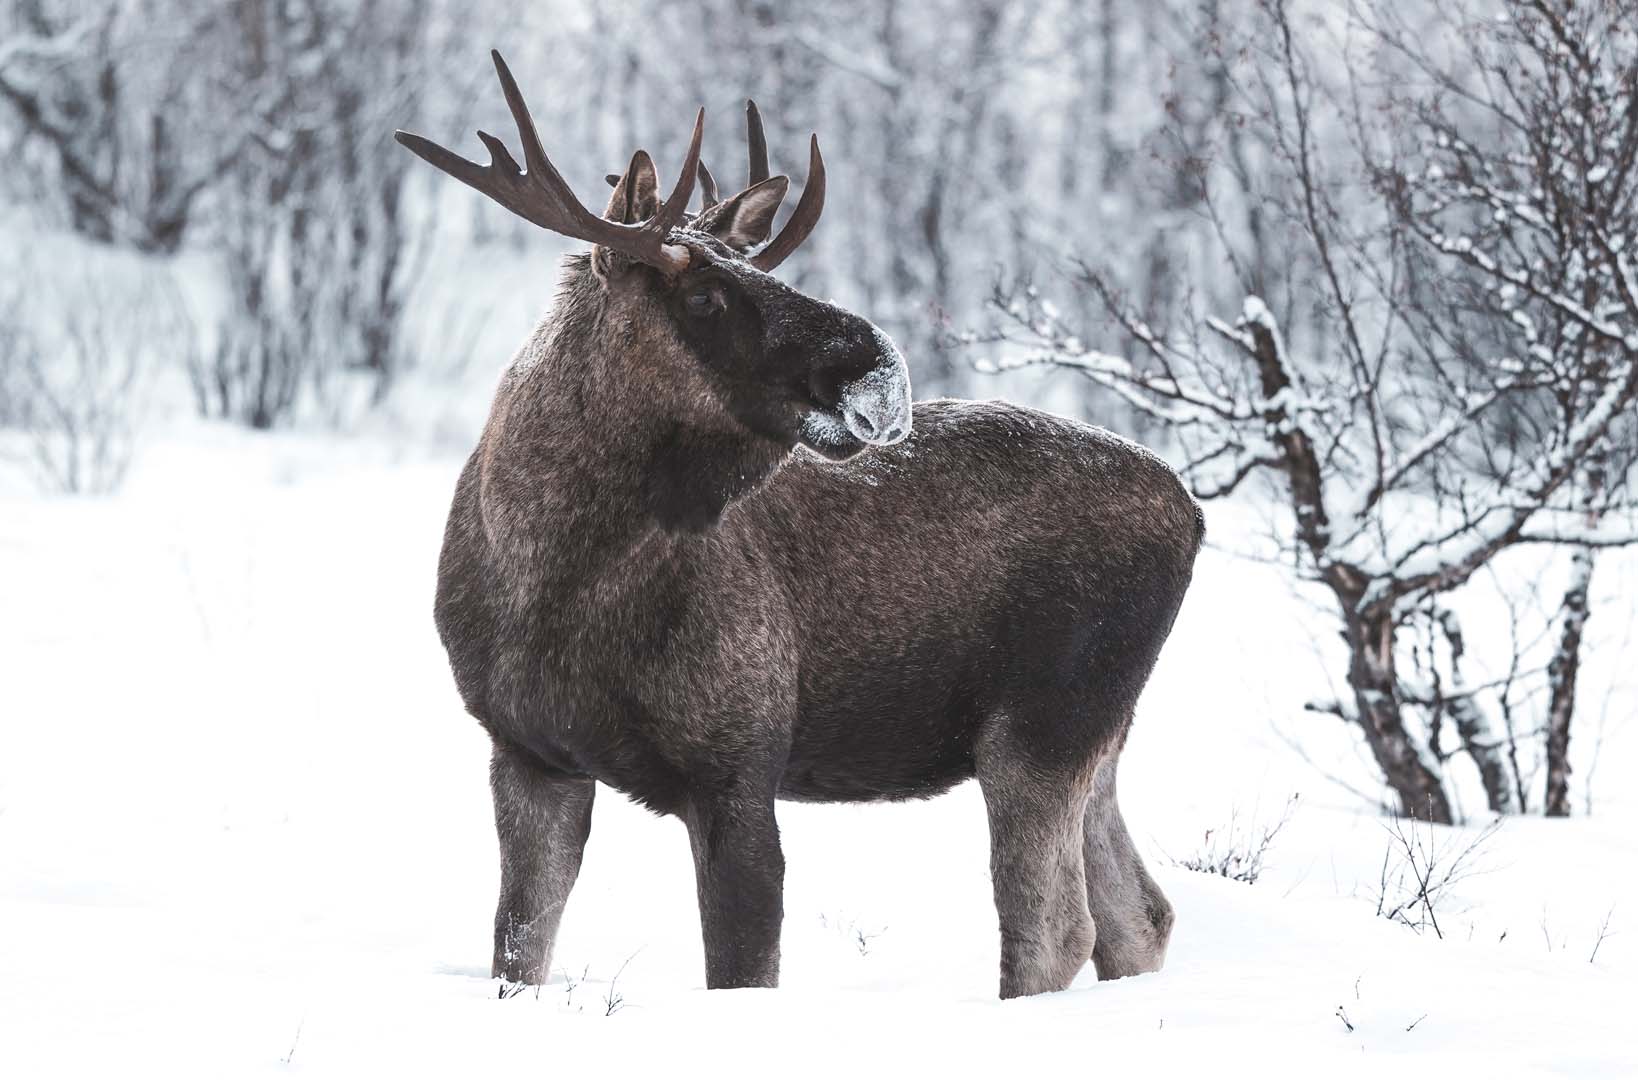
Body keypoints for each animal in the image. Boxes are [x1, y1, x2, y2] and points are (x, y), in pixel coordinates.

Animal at [397, 51, 1203, 1000]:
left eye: (773, 276)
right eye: (705, 295)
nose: (877, 369)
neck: (552, 578)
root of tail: (1191, 512)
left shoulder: (738, 766)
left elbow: (742, 969)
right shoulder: (529, 753)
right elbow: (519, 952)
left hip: (1043, 721)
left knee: (1055, 929)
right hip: (1097, 735)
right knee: (1138, 914)